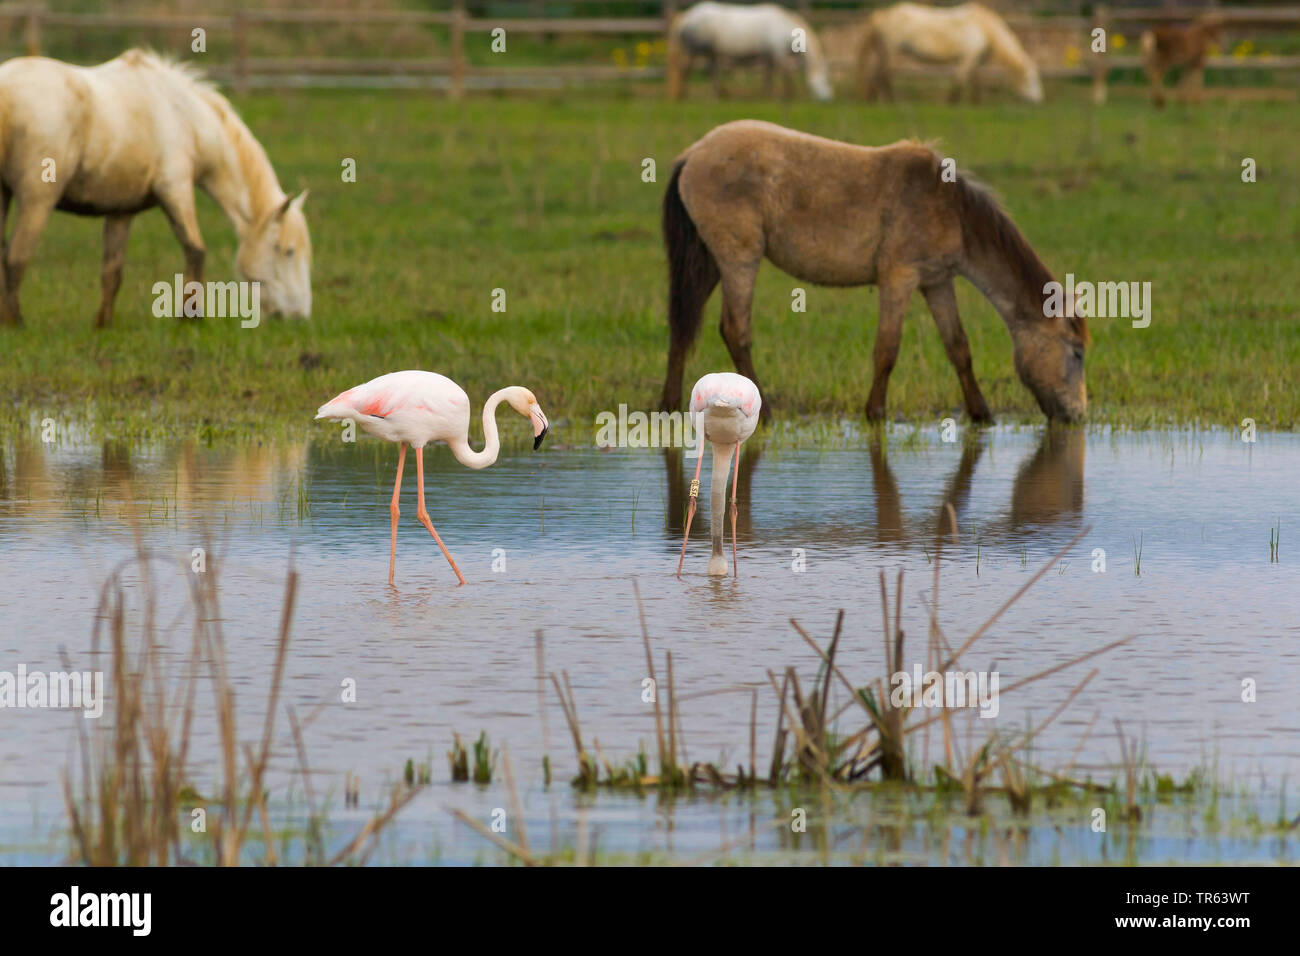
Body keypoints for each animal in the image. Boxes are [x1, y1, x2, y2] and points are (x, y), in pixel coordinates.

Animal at [0, 49, 312, 329]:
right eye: (287, 251)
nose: (299, 316)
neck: (184, 115)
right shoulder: (176, 189)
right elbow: (195, 250)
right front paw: (190, 318)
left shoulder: (120, 212)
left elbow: (112, 272)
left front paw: (103, 323)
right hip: (37, 201)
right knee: (16, 257)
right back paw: (15, 323)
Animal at [660, 122, 1086, 426]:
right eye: (1077, 353)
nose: (1079, 415)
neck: (949, 208)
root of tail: (693, 155)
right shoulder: (899, 278)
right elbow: (887, 349)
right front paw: (876, 413)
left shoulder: (937, 282)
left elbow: (958, 348)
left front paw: (981, 413)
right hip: (739, 260)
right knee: (735, 330)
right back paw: (764, 414)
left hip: (708, 261)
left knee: (682, 327)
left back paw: (669, 404)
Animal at [665, 2, 837, 101]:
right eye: (825, 80)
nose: (829, 98)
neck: (784, 26)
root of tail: (685, 17)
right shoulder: (777, 52)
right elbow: (785, 73)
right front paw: (788, 94)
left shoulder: (768, 56)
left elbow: (769, 76)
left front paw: (767, 94)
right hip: (695, 50)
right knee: (686, 69)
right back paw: (683, 95)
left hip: (711, 53)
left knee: (712, 71)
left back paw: (719, 94)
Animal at [852, 2, 1045, 104]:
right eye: (1031, 80)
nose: (1038, 100)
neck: (984, 27)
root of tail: (883, 14)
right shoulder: (968, 56)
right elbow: (960, 80)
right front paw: (952, 104)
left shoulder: (975, 59)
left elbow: (976, 82)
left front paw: (976, 104)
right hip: (892, 49)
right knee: (884, 75)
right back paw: (891, 102)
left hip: (884, 51)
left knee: (877, 74)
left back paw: (873, 100)